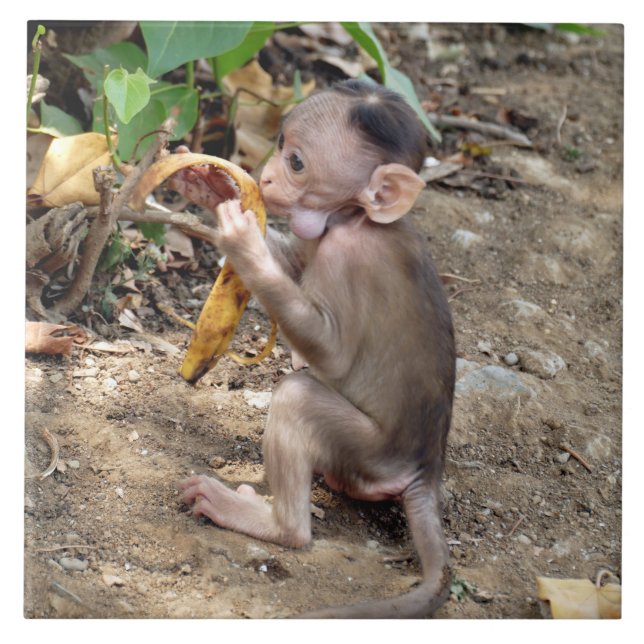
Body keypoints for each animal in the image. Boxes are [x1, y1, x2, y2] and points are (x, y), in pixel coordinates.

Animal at [178, 79, 455, 618]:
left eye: (297, 162)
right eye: (280, 142)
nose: (264, 177)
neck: (358, 219)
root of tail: (425, 470)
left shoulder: (349, 257)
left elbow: (332, 354)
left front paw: (242, 240)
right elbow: (297, 263)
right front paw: (214, 188)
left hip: (369, 453)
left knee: (298, 397)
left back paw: (273, 523)